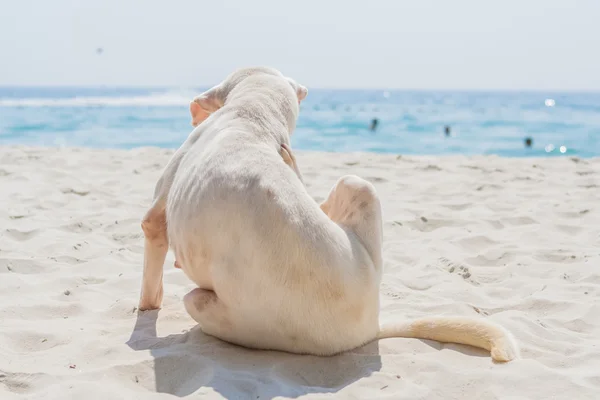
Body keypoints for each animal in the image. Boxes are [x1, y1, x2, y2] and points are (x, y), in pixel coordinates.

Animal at [138, 67, 516, 360]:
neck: (253, 115)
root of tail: (367, 330)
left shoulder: (157, 217)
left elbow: (150, 280)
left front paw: (146, 308)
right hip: (360, 186)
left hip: (206, 306)